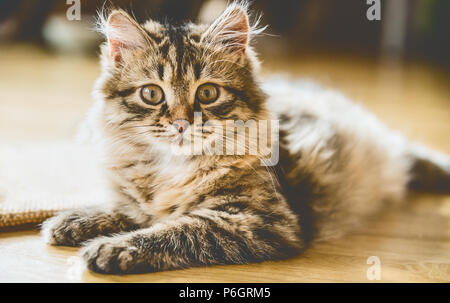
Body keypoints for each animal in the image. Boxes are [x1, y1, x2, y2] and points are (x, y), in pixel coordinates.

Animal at [40, 2, 448, 274]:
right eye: (152, 94)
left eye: (207, 94)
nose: (181, 123)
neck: (171, 168)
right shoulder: (144, 202)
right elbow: (128, 210)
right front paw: (73, 220)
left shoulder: (258, 220)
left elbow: (177, 230)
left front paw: (110, 249)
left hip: (388, 148)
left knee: (411, 154)